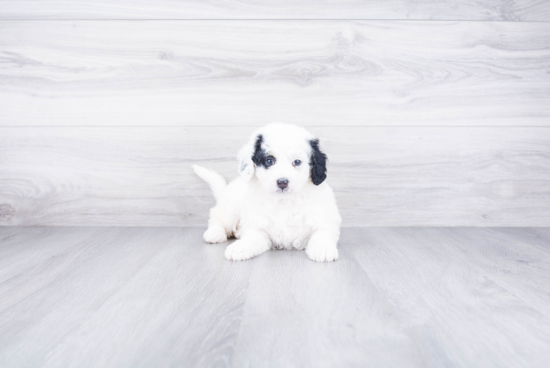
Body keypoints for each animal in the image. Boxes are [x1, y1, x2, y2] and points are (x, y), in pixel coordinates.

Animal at [193, 123, 340, 262]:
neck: (284, 201)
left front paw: (323, 249)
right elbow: (251, 238)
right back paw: (214, 233)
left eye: (297, 162)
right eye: (269, 160)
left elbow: (322, 234)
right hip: (231, 207)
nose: (282, 182)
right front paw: (240, 247)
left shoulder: (324, 220)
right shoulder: (259, 228)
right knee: (217, 217)